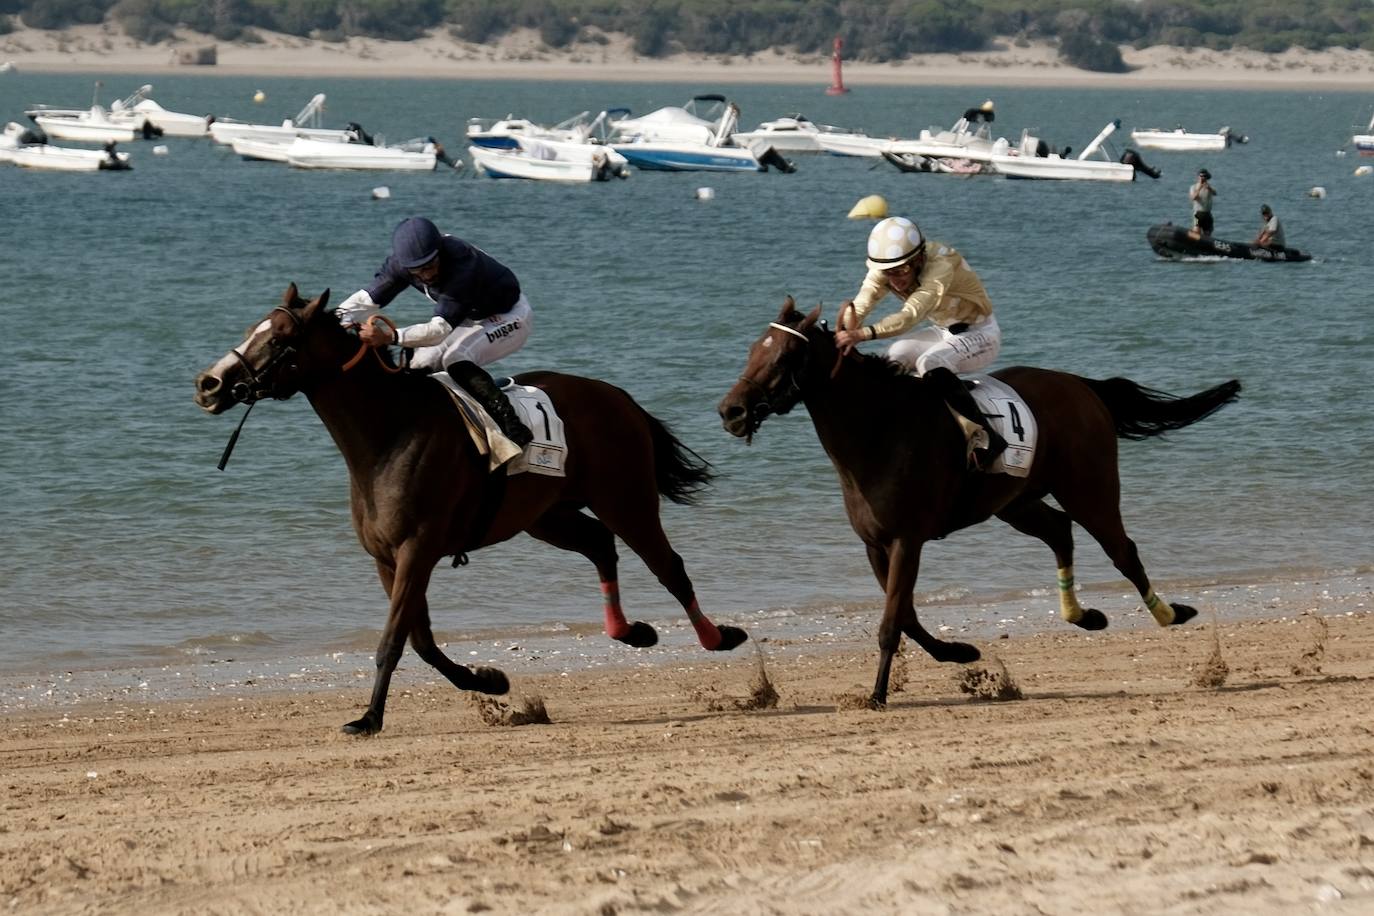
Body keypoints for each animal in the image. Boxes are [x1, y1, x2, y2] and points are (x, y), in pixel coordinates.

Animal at [193, 282, 747, 736]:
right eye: (252, 329)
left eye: (281, 339)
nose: (209, 384)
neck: (388, 431)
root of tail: (621, 398)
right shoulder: (387, 559)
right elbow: (420, 641)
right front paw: (489, 679)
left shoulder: (418, 550)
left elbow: (393, 641)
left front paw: (368, 718)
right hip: (547, 515)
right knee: (599, 545)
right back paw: (630, 631)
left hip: (625, 498)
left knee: (667, 566)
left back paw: (718, 637)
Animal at [725, 300, 1242, 708]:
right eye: (753, 348)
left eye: (784, 355)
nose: (730, 410)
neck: (879, 430)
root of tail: (1080, 385)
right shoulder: (876, 543)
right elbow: (905, 616)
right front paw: (961, 652)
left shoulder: (908, 539)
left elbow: (892, 621)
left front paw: (876, 694)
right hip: (1015, 501)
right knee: (1060, 532)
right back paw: (1084, 616)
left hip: (1089, 488)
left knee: (1121, 550)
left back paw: (1170, 613)